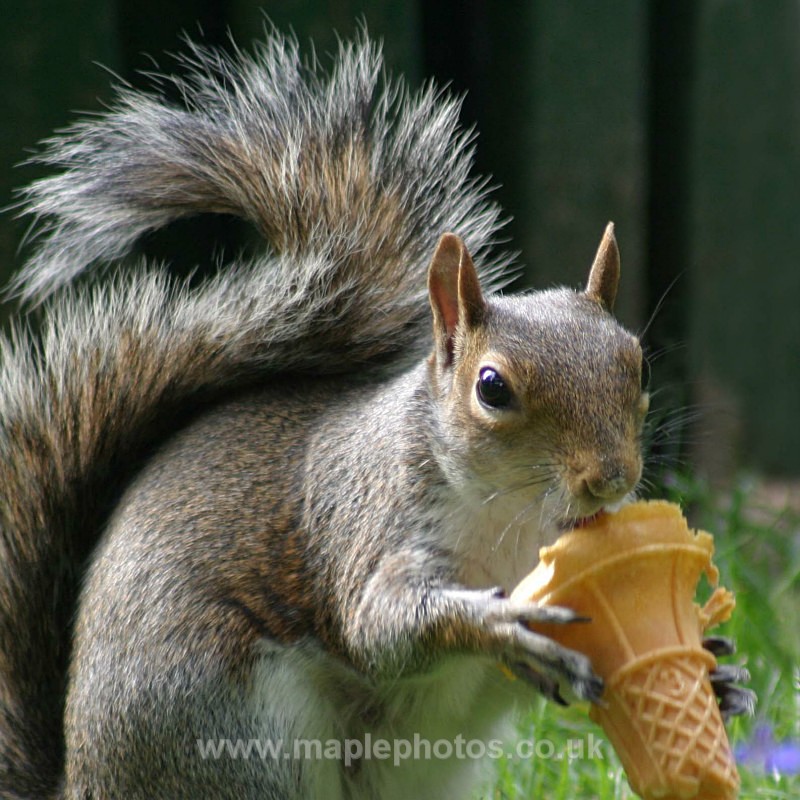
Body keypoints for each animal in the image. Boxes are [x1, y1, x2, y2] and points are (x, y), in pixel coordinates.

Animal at [0, 29, 753, 800]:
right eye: (492, 388)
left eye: (638, 365)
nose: (610, 479)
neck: (513, 518)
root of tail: (82, 781)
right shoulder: (371, 527)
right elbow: (381, 630)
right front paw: (500, 620)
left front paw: (716, 669)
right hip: (233, 733)